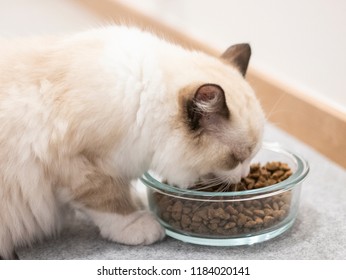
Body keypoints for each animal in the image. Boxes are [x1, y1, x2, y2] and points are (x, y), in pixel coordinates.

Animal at [0, 25, 264, 260]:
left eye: (250, 158)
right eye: (237, 159)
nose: (244, 174)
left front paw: (137, 201)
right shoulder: (81, 164)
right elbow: (109, 201)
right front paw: (138, 223)